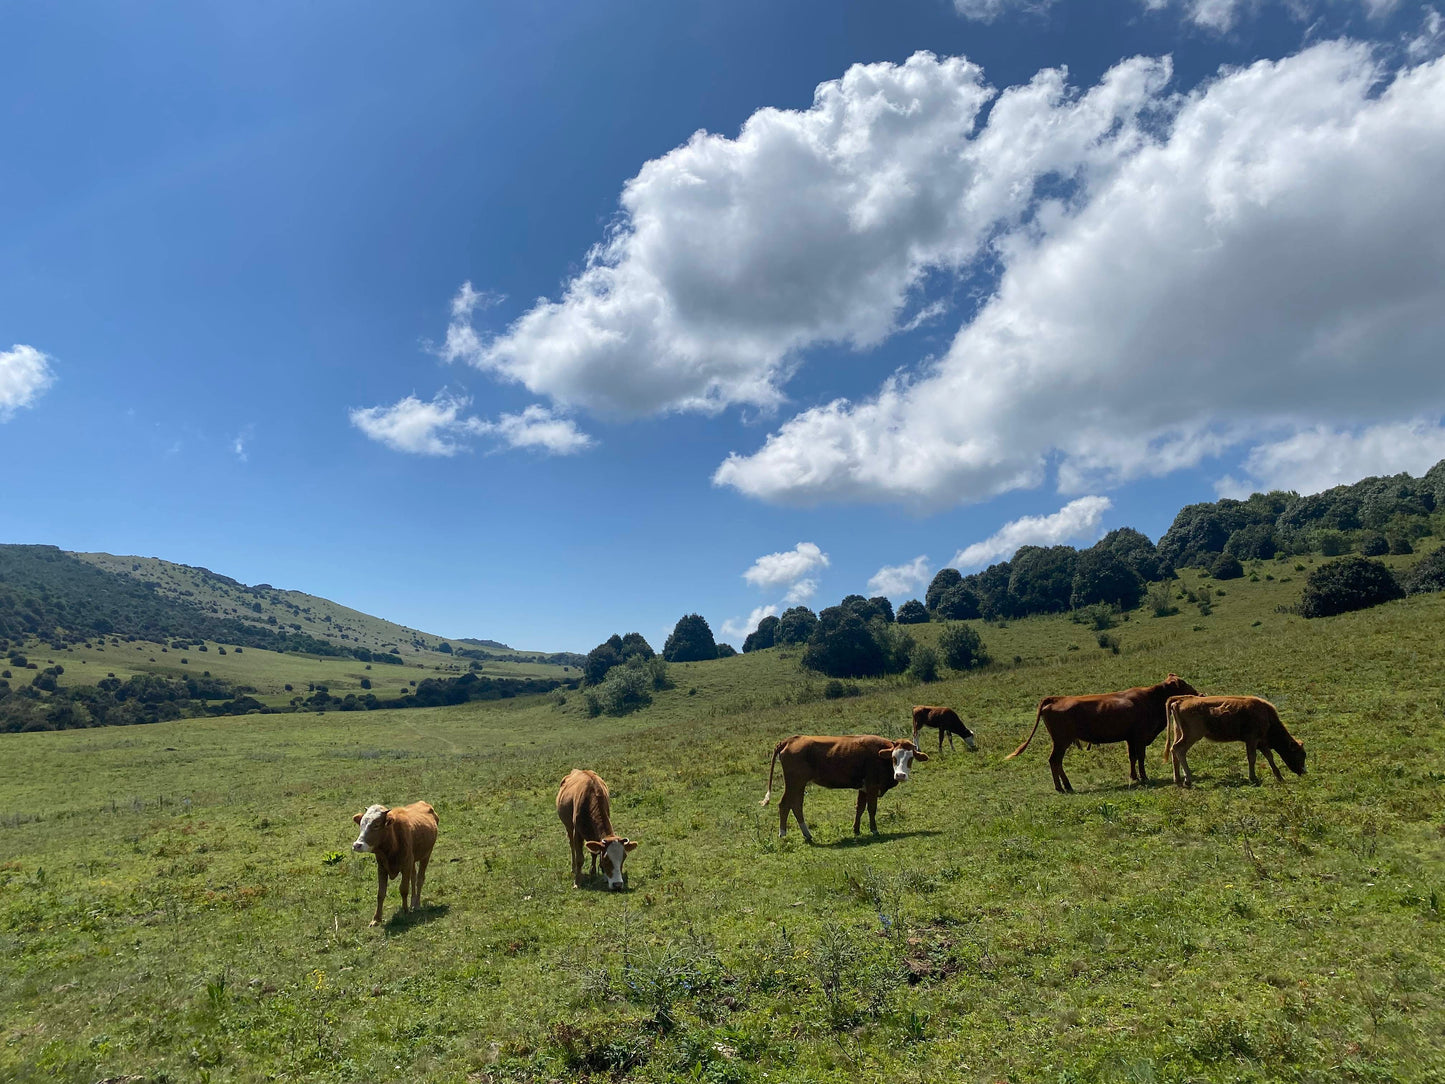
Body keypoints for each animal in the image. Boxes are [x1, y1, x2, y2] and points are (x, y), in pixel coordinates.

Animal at [762, 734, 930, 844]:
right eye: (894, 758)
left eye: (910, 758)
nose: (900, 775)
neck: (881, 755)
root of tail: (789, 740)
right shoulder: (872, 786)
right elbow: (871, 809)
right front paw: (874, 830)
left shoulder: (863, 788)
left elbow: (860, 808)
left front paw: (856, 829)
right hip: (794, 783)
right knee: (785, 805)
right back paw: (783, 834)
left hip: (799, 784)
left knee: (796, 806)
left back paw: (807, 834)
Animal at [1005, 676, 1196, 792]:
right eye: (1184, 684)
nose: (1198, 693)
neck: (1150, 699)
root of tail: (1056, 698)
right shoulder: (1140, 737)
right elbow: (1140, 757)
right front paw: (1144, 777)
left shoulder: (1130, 738)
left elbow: (1132, 757)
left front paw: (1133, 777)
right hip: (1061, 742)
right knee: (1054, 761)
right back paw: (1063, 787)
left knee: (1056, 762)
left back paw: (1065, 786)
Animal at [1161, 696, 1312, 792]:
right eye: (1301, 755)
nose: (1304, 772)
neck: (1266, 715)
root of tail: (1180, 701)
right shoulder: (1252, 739)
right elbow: (1252, 758)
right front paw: (1253, 777)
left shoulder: (1261, 742)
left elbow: (1269, 757)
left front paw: (1279, 777)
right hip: (1192, 736)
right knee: (1179, 749)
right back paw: (1188, 779)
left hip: (1179, 733)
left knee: (1174, 751)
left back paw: (1178, 780)